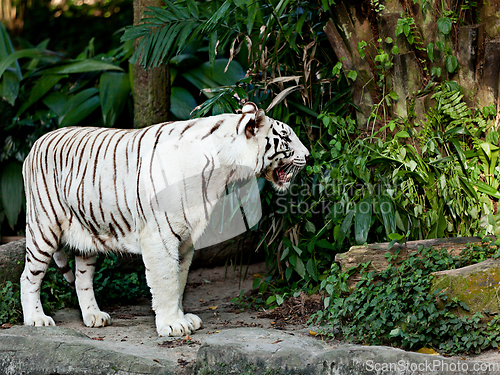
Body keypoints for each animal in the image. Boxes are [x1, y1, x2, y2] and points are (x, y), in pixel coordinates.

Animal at [20, 102, 308, 338]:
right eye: (286, 137)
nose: (308, 155)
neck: (223, 171)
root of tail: (36, 142)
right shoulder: (160, 236)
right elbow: (167, 280)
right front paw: (172, 325)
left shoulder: (186, 237)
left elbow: (179, 281)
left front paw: (182, 319)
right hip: (43, 228)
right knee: (28, 276)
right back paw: (36, 319)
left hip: (87, 234)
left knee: (82, 279)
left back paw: (94, 316)